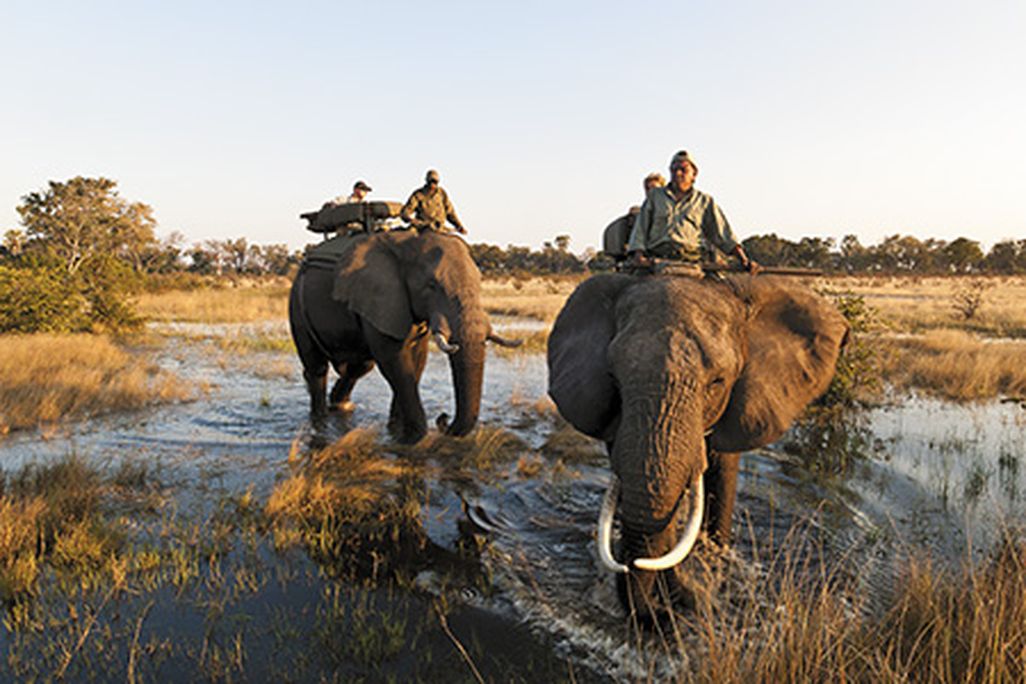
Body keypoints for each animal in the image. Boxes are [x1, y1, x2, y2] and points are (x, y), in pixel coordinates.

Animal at [289, 230, 518, 443]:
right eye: (431, 285)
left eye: (480, 282)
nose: (443, 418)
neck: (407, 243)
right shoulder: (381, 296)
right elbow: (394, 361)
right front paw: (411, 439)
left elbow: (417, 361)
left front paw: (396, 430)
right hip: (297, 308)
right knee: (317, 367)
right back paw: (320, 420)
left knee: (359, 366)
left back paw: (340, 404)